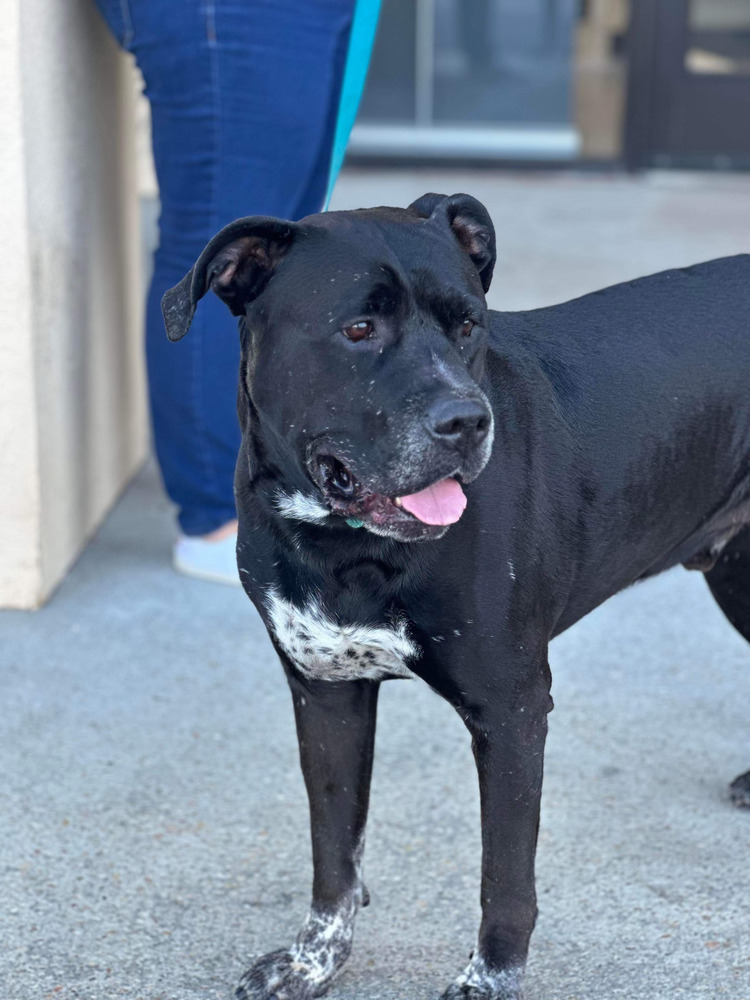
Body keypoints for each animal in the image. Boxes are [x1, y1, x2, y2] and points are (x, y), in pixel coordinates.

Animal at [162, 195, 748, 1000]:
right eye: (358, 329)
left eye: (469, 325)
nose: (468, 422)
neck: (349, 549)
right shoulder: (325, 692)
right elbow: (333, 853)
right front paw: (314, 961)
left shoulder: (512, 710)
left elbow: (504, 876)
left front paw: (490, 977)